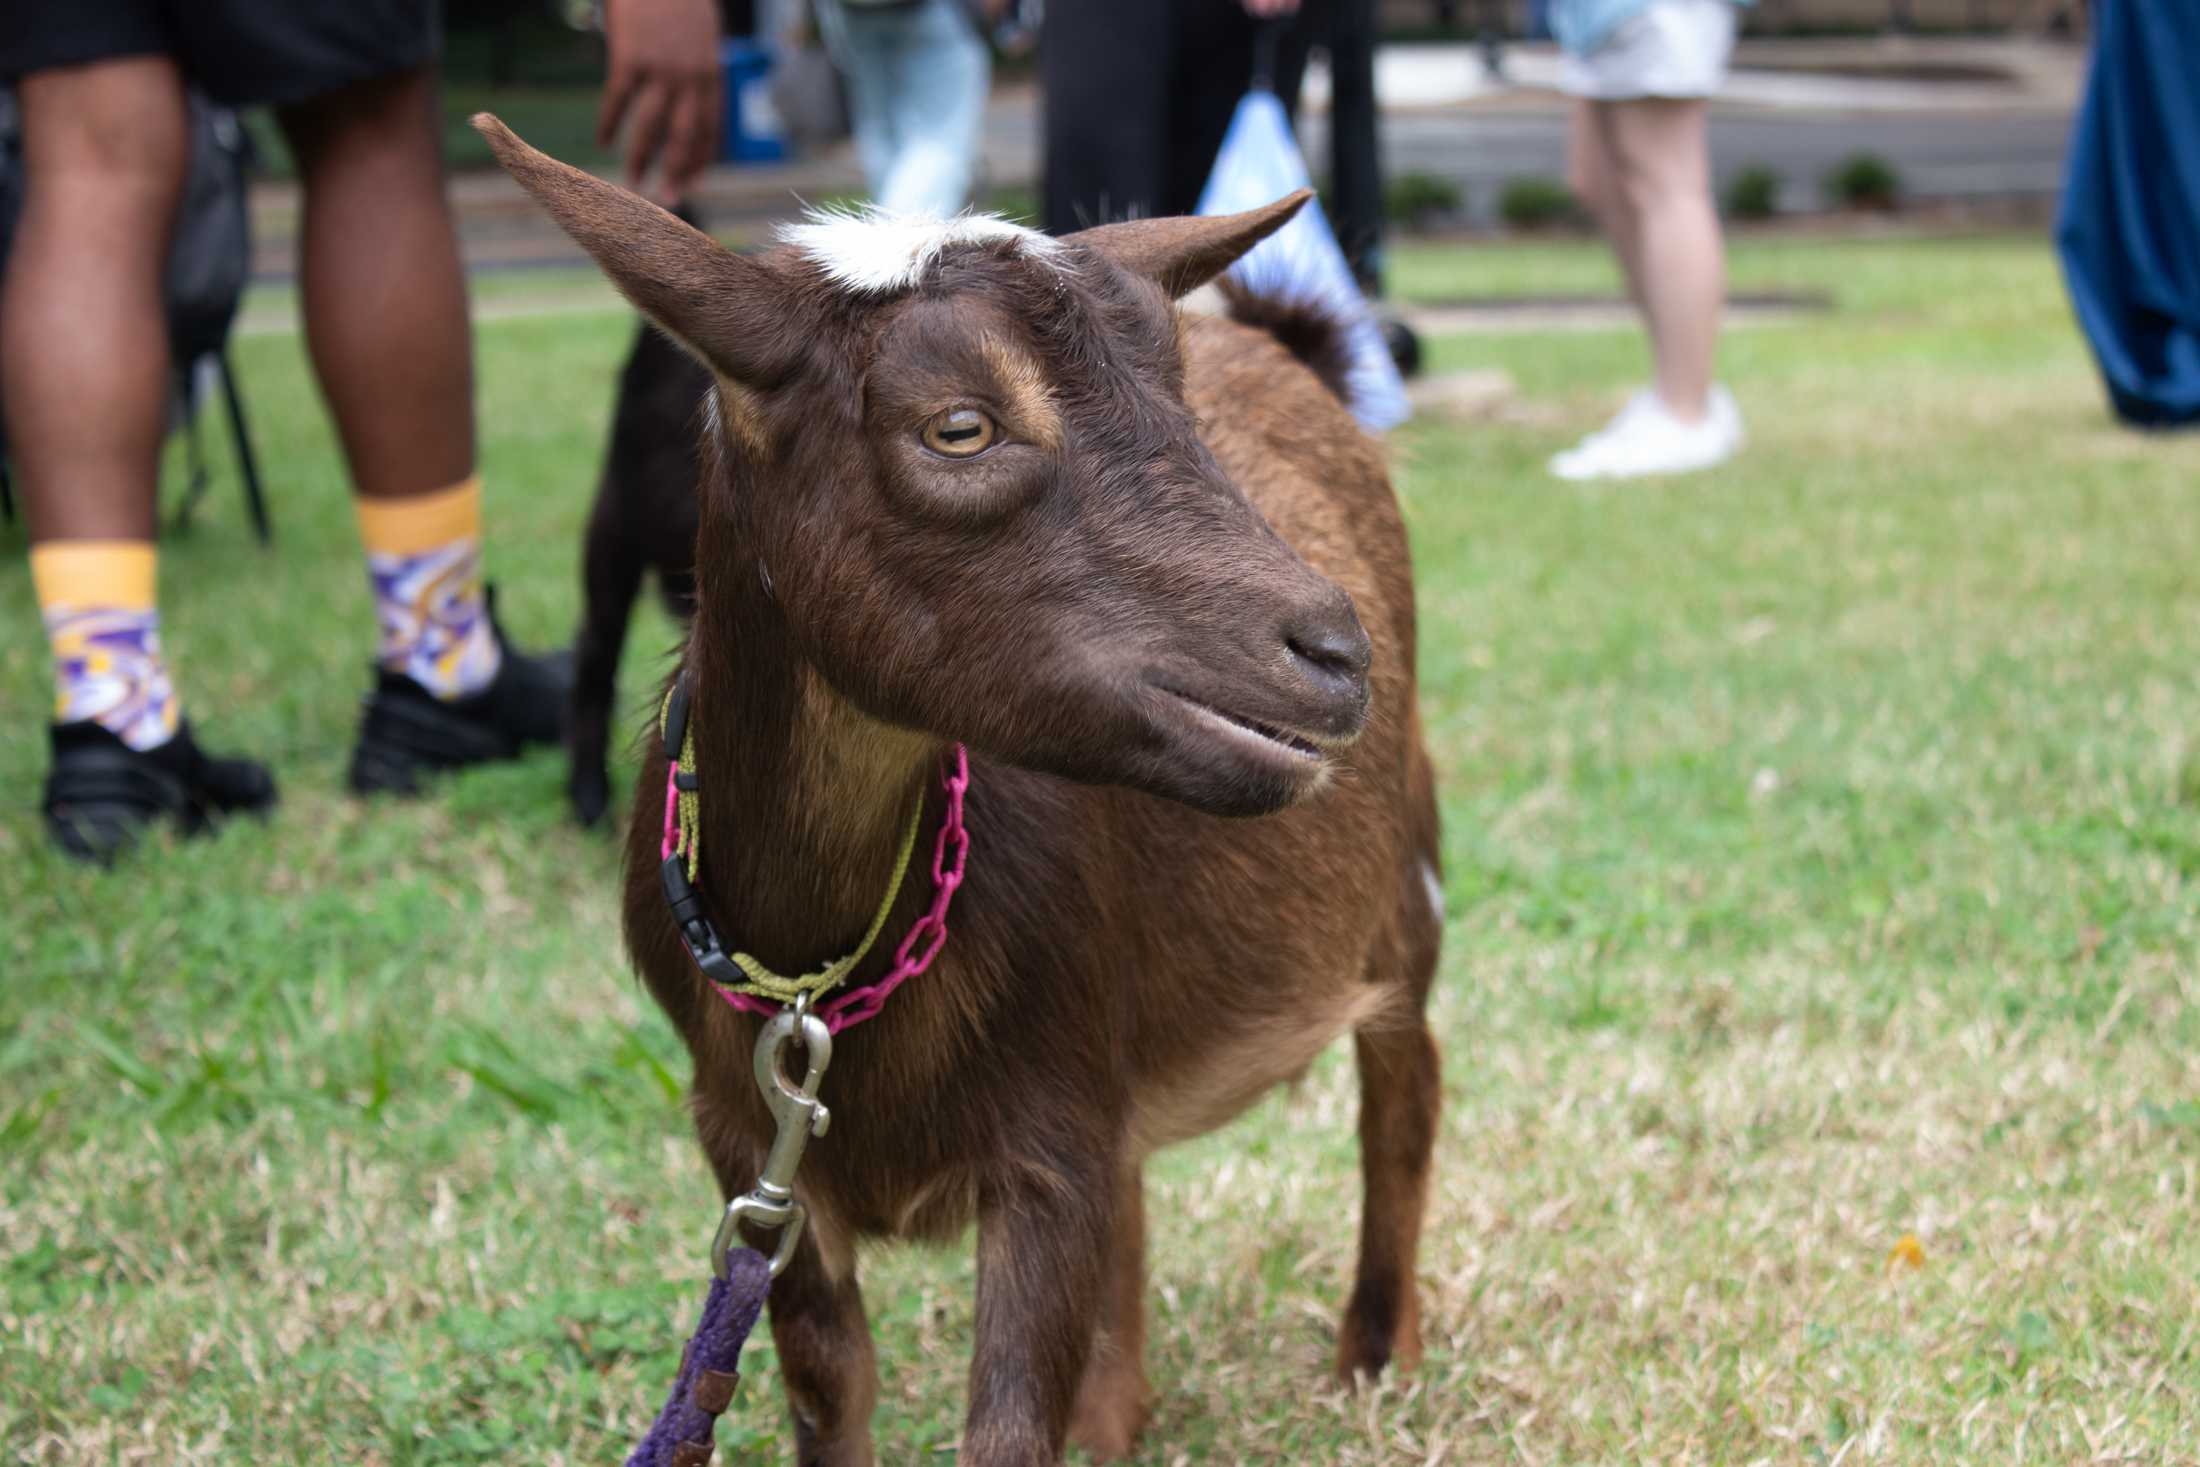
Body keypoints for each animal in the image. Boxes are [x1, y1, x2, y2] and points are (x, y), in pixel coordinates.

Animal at [481, 117, 1443, 1467]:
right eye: (957, 428)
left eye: (1178, 404)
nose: (1331, 651)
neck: (819, 964)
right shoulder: (752, 1147)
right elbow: (829, 1388)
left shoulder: (1045, 1143)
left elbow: (1007, 1421)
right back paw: (1118, 1414)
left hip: (1403, 864)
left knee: (1404, 1082)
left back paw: (1373, 1354)